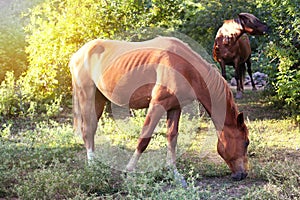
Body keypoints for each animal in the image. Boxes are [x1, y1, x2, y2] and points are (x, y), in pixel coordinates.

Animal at [69, 36, 250, 181]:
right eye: (246, 142)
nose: (243, 174)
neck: (186, 68)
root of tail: (78, 54)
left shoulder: (175, 107)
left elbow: (172, 138)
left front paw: (174, 173)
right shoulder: (157, 105)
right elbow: (144, 138)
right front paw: (129, 170)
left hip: (99, 99)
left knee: (91, 130)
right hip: (87, 95)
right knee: (88, 129)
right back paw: (93, 166)